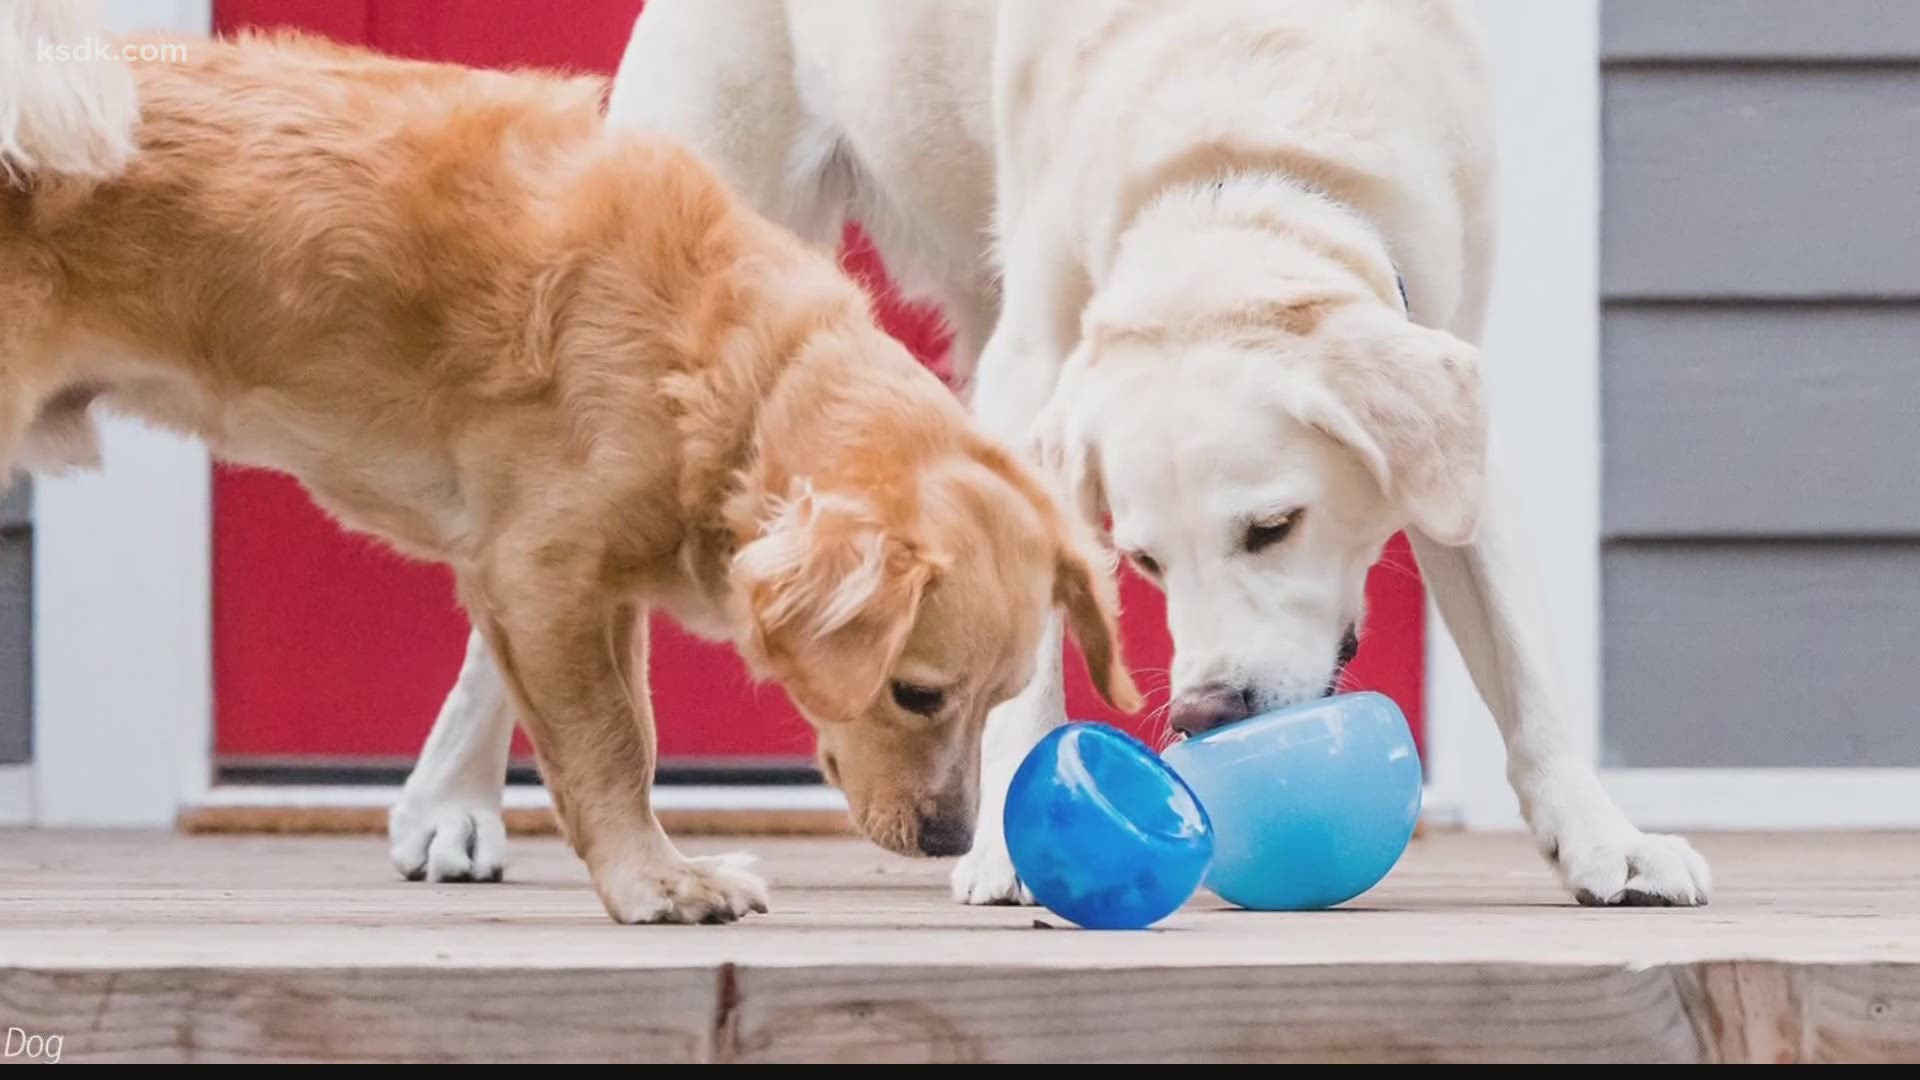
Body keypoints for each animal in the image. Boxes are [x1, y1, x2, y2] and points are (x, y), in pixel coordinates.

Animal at [0, 4, 1128, 922]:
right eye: (917, 694)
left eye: (1000, 696)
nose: (949, 838)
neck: (729, 366)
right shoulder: (541, 579)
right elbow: (611, 748)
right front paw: (654, 883)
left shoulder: (604, 591)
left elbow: (637, 733)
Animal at [389, 0, 1712, 907]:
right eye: (1148, 561)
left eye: (1272, 527)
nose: (1209, 711)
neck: (1240, 160)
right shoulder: (1035, 377)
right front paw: (1011, 844)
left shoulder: (1452, 388)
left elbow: (1529, 672)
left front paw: (1606, 840)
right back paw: (451, 802)